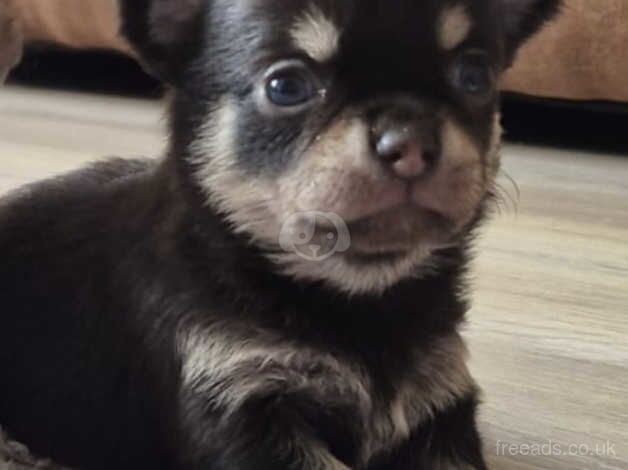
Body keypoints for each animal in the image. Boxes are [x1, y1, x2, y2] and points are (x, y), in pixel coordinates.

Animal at [0, 0, 560, 468]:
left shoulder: (441, 406)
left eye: (475, 76)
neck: (356, 301)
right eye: (286, 86)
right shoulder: (239, 402)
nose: (412, 141)